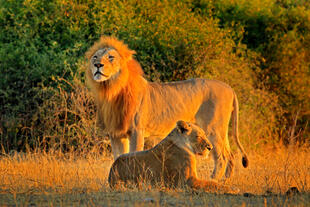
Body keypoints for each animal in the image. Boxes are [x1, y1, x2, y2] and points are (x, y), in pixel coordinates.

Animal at [85, 36, 249, 180]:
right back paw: (225, 181)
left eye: (111, 57)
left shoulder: (137, 130)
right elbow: (118, 156)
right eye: (95, 57)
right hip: (221, 130)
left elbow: (134, 153)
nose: (97, 65)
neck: (111, 89)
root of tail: (229, 88)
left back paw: (214, 180)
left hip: (213, 128)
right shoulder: (116, 134)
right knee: (230, 155)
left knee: (221, 157)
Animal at [109, 120, 240, 193]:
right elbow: (211, 184)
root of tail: (112, 171)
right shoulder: (187, 181)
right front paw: (232, 189)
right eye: (198, 136)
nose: (210, 147)